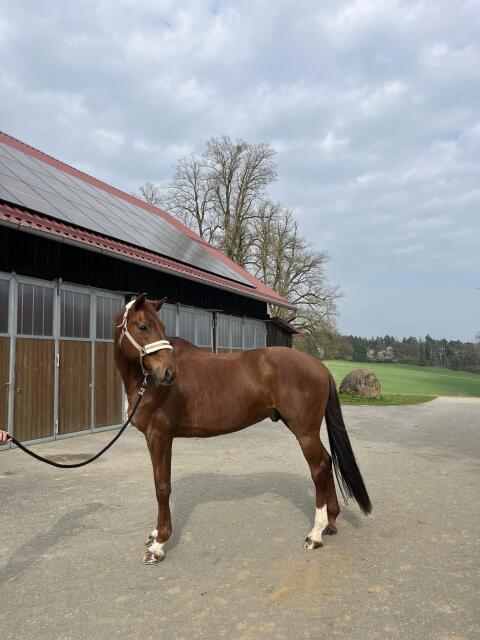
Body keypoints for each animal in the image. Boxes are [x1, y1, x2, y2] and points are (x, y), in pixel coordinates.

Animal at [114, 294, 372, 565]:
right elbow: (159, 482)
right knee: (327, 461)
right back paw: (330, 523)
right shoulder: (155, 438)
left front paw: (159, 544)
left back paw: (315, 534)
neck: (148, 385)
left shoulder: (160, 436)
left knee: (320, 467)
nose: (168, 373)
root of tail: (319, 366)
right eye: (144, 327)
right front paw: (155, 534)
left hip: (305, 431)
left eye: (161, 328)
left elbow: (162, 486)